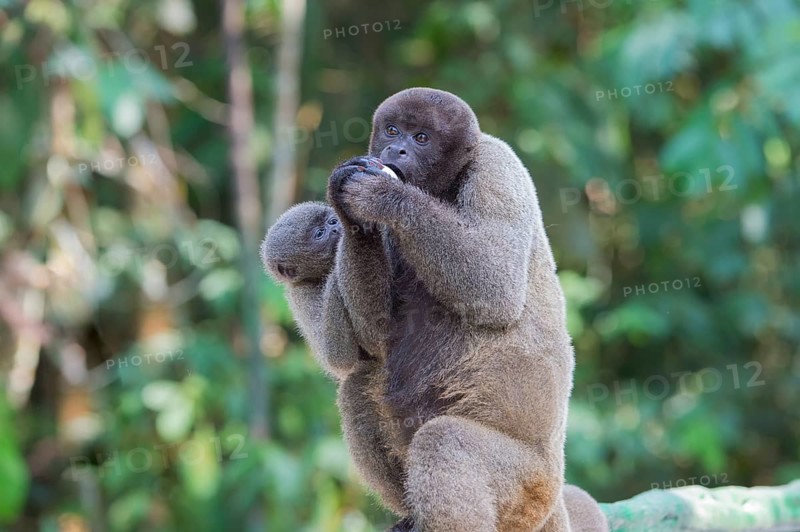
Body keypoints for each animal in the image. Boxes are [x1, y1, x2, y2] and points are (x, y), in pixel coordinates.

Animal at [322, 87, 595, 531]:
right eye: (392, 130)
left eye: (421, 138)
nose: (396, 150)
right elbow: (371, 341)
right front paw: (347, 206)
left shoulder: (498, 166)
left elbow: (496, 285)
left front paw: (383, 197)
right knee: (358, 386)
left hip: (526, 488)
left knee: (444, 440)